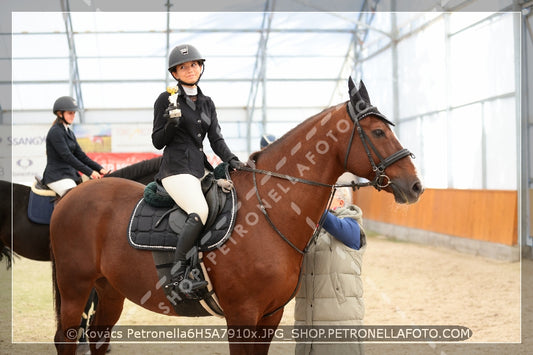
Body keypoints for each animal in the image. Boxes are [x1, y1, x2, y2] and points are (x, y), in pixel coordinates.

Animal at [51, 80, 424, 355]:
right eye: (378, 132)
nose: (416, 186)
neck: (268, 211)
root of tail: (72, 195)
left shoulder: (270, 315)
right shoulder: (242, 315)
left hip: (109, 288)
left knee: (98, 338)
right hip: (75, 286)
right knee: (66, 339)